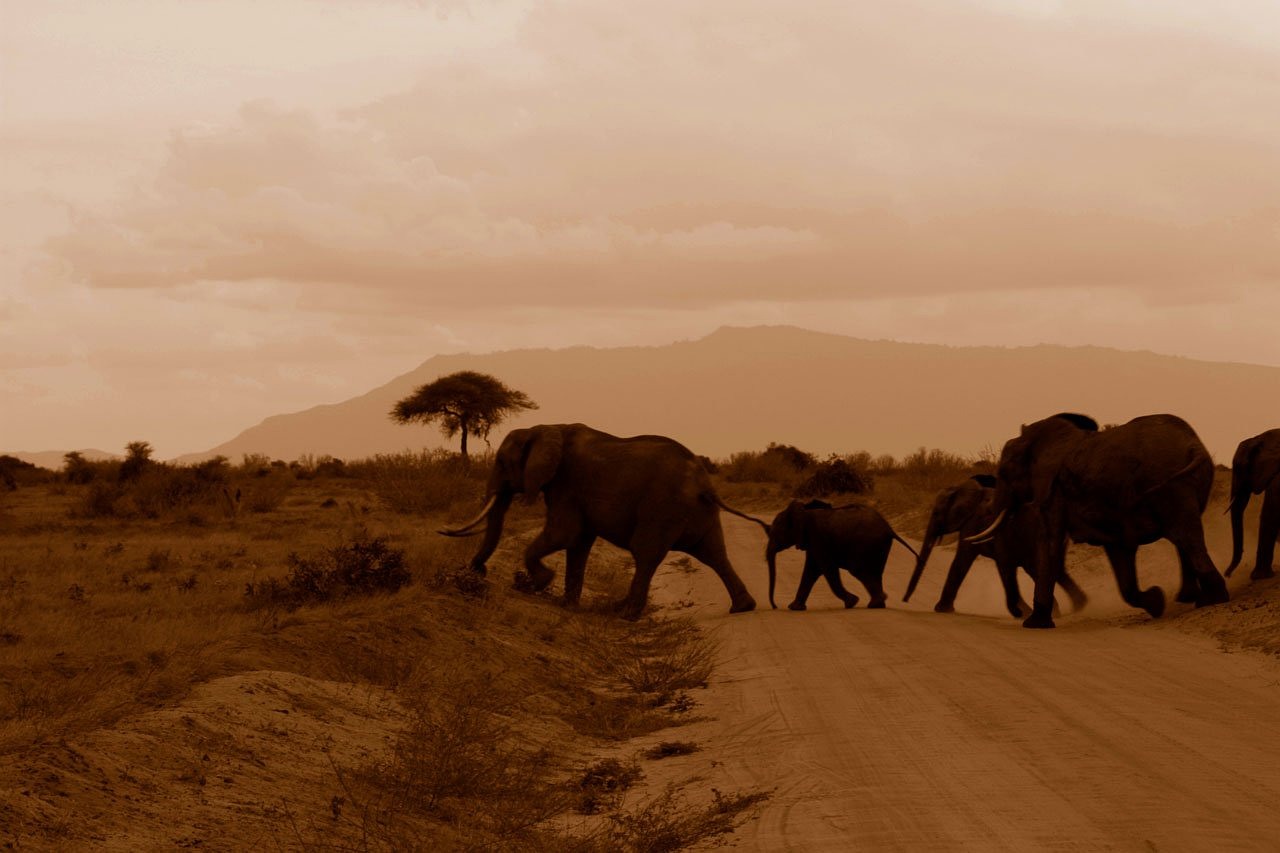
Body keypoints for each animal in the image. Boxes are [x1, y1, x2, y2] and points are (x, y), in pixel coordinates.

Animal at [440, 420, 762, 614]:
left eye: (501, 462)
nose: (476, 571)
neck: (545, 428)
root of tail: (705, 484)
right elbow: (578, 543)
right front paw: (566, 604)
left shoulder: (567, 483)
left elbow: (564, 533)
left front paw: (539, 583)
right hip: (697, 512)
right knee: (714, 553)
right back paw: (743, 607)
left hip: (662, 508)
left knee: (646, 554)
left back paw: (623, 614)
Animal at [762, 494, 916, 607]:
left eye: (775, 534)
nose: (775, 606)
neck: (803, 511)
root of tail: (889, 529)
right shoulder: (813, 541)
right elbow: (811, 571)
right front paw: (794, 607)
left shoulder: (818, 537)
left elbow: (826, 569)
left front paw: (852, 602)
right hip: (879, 547)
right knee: (875, 572)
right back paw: (877, 604)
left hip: (867, 544)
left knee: (858, 570)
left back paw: (878, 600)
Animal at [901, 471, 1090, 617]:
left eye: (936, 513)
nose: (905, 600)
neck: (961, 488)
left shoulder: (974, 524)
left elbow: (964, 559)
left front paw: (941, 609)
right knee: (1052, 569)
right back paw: (1075, 608)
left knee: (1022, 568)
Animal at [967, 412, 1228, 625]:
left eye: (1003, 473)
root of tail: (1193, 445)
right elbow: (1118, 550)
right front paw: (1156, 601)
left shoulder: (1053, 492)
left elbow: (1050, 543)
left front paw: (1034, 624)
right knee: (1185, 536)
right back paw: (1196, 599)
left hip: (1171, 486)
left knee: (1186, 536)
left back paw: (1212, 599)